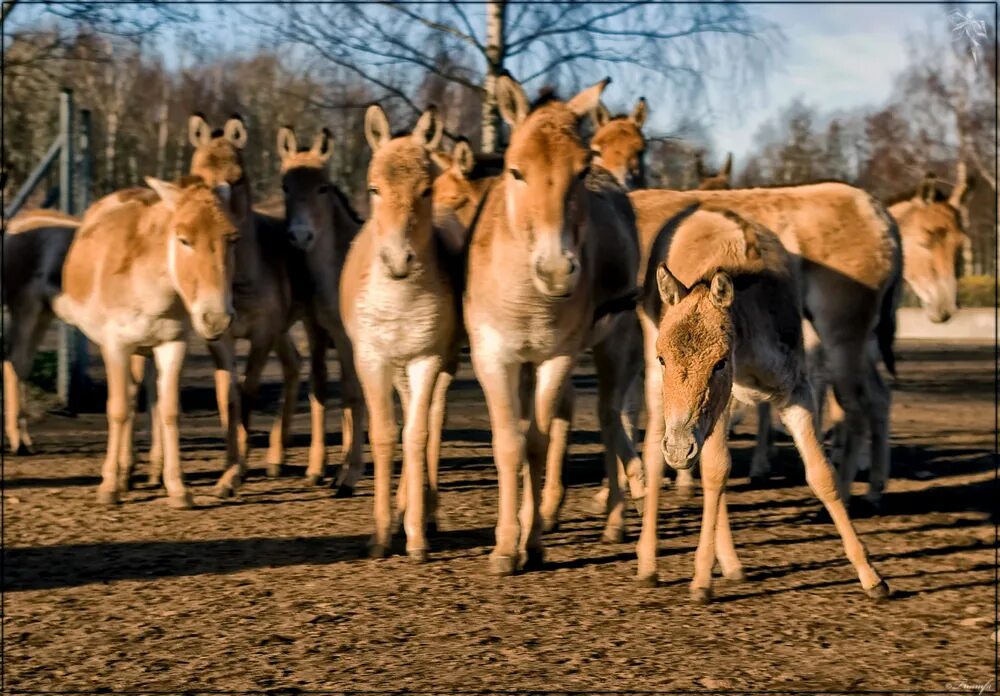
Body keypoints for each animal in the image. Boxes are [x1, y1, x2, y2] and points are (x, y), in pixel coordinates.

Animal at [52, 177, 238, 508]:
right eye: (183, 240)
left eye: (232, 239)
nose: (216, 319)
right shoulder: (115, 345)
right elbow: (118, 409)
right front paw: (109, 487)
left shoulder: (172, 344)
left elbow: (169, 410)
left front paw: (178, 488)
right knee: (130, 396)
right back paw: (125, 473)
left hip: (147, 349)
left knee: (149, 396)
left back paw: (152, 470)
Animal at [340, 104, 458, 560]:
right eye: (374, 188)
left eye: (425, 189)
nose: (397, 260)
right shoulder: (371, 358)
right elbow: (386, 434)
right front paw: (380, 535)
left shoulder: (428, 357)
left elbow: (417, 434)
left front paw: (416, 538)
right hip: (398, 366)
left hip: (440, 361)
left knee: (432, 420)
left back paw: (426, 510)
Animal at [636, 204, 888, 600]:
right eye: (664, 358)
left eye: (720, 361)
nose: (678, 448)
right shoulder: (717, 405)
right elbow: (716, 470)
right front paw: (701, 582)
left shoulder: (795, 390)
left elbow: (820, 473)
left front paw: (873, 577)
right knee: (653, 451)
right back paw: (648, 565)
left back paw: (732, 565)